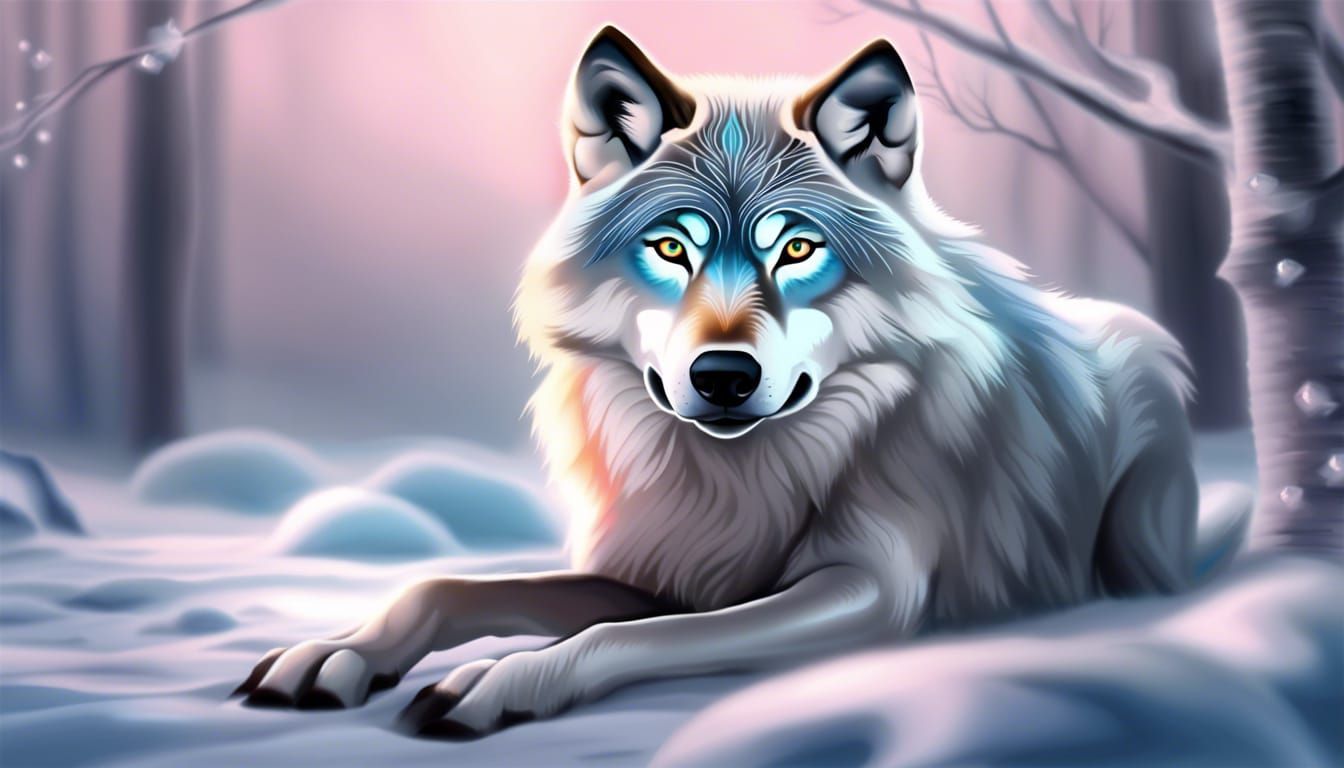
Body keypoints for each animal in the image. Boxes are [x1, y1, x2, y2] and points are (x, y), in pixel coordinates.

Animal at [236, 27, 1253, 738]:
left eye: (797, 249)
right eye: (670, 248)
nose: (723, 375)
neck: (738, 477)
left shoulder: (872, 591)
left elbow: (617, 638)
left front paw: (502, 680)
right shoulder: (665, 571)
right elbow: (443, 587)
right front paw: (337, 653)